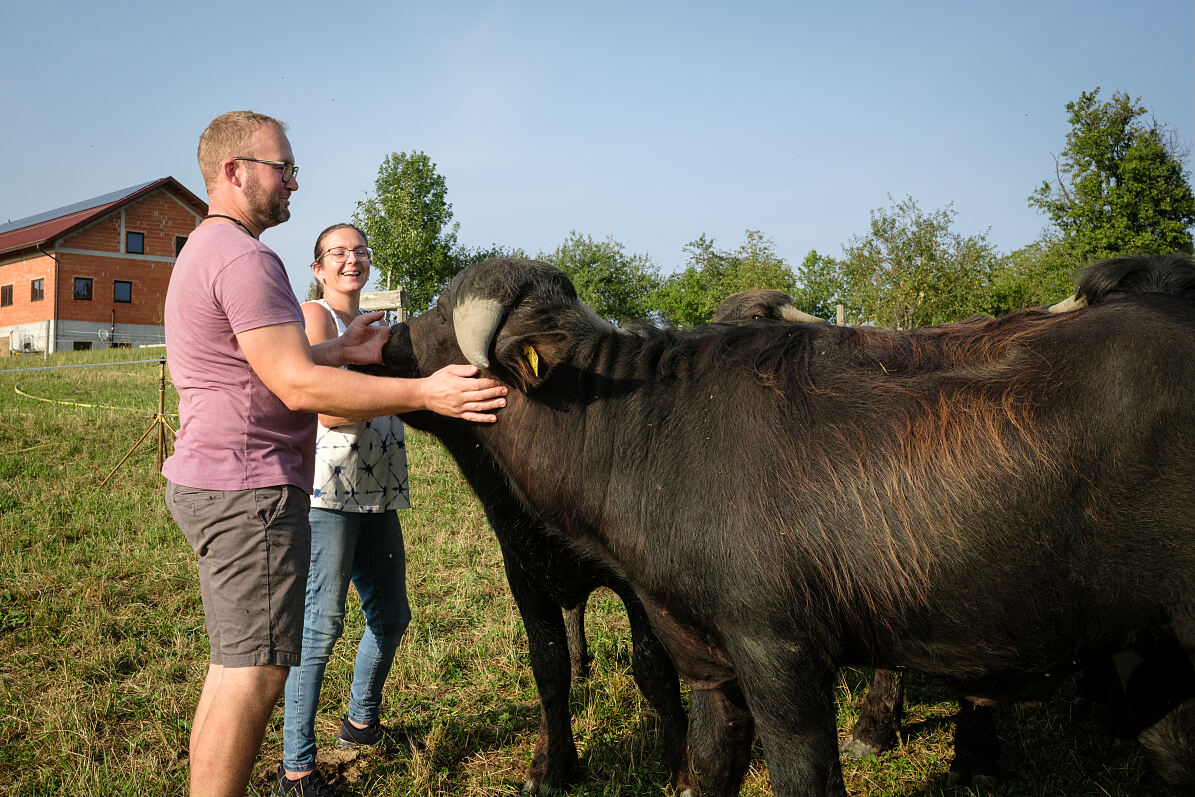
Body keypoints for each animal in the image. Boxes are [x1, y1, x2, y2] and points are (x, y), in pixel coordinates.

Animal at [377, 259, 1195, 793]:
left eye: (435, 320)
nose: (384, 339)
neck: (640, 433)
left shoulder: (784, 658)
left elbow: (805, 777)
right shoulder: (707, 664)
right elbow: (707, 765)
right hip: (1148, 653)